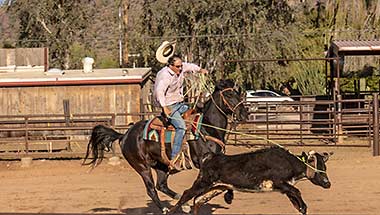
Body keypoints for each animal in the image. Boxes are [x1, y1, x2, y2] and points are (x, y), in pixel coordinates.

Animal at [83, 79, 248, 213]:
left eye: (238, 94)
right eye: (229, 95)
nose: (244, 114)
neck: (207, 128)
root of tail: (124, 135)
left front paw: (227, 196)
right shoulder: (203, 163)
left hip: (161, 165)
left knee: (161, 185)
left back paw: (183, 204)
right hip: (142, 167)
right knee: (151, 189)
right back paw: (166, 209)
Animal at [170, 145, 332, 214]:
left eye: (325, 166)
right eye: (319, 167)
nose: (328, 183)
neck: (289, 162)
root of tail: (210, 157)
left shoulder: (285, 187)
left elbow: (295, 197)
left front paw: (302, 208)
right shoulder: (279, 182)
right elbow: (297, 191)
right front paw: (303, 207)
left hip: (217, 187)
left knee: (198, 200)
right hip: (203, 182)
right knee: (187, 194)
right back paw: (170, 211)